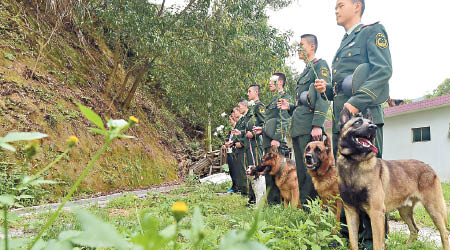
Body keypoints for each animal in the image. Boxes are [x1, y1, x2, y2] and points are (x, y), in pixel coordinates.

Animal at [340, 108, 448, 250]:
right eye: (358, 122)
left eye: (371, 122)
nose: (373, 127)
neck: (354, 163)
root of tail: (428, 166)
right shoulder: (351, 212)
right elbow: (353, 242)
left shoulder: (376, 213)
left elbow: (377, 244)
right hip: (404, 211)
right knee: (414, 230)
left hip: (433, 209)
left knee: (444, 233)